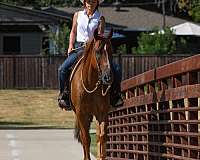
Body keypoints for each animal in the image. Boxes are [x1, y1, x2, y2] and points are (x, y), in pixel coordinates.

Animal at [71, 29, 113, 160]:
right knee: (83, 138)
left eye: (111, 51)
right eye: (98, 51)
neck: (90, 84)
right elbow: (86, 139)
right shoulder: (81, 114)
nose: (108, 77)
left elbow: (102, 137)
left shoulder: (102, 113)